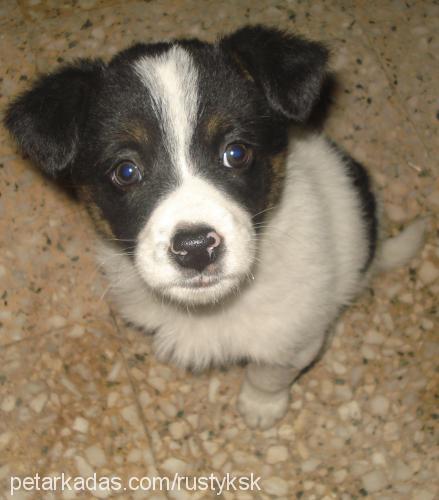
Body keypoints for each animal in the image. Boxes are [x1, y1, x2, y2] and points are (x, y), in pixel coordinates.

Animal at [4, 25, 426, 428]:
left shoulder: (291, 338)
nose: (194, 248)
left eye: (236, 153)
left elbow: (269, 373)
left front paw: (260, 407)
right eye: (125, 171)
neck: (212, 308)